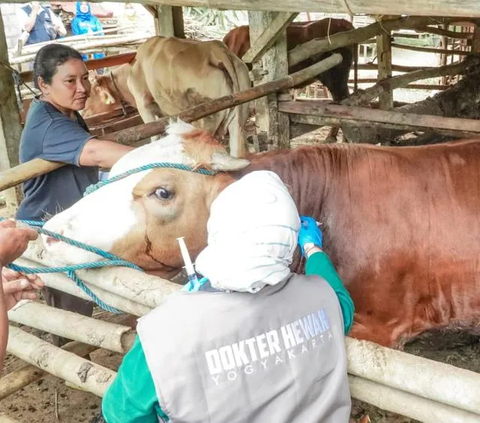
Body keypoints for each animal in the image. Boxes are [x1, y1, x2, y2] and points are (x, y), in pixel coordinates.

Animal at [83, 37, 251, 157]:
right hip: (238, 120)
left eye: (91, 92)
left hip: (204, 120)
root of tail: (214, 48)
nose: (83, 112)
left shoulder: (144, 105)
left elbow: (153, 135)